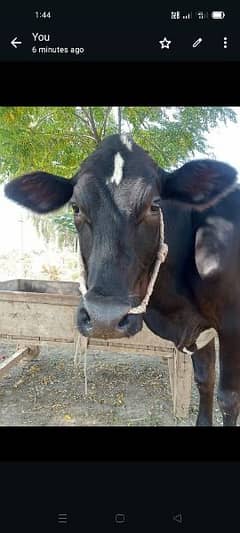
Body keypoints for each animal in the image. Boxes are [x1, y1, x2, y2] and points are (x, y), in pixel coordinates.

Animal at [4, 133, 239, 424]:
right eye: (76, 207)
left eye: (155, 205)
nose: (104, 318)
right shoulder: (199, 329)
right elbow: (204, 380)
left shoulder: (230, 325)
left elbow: (228, 398)